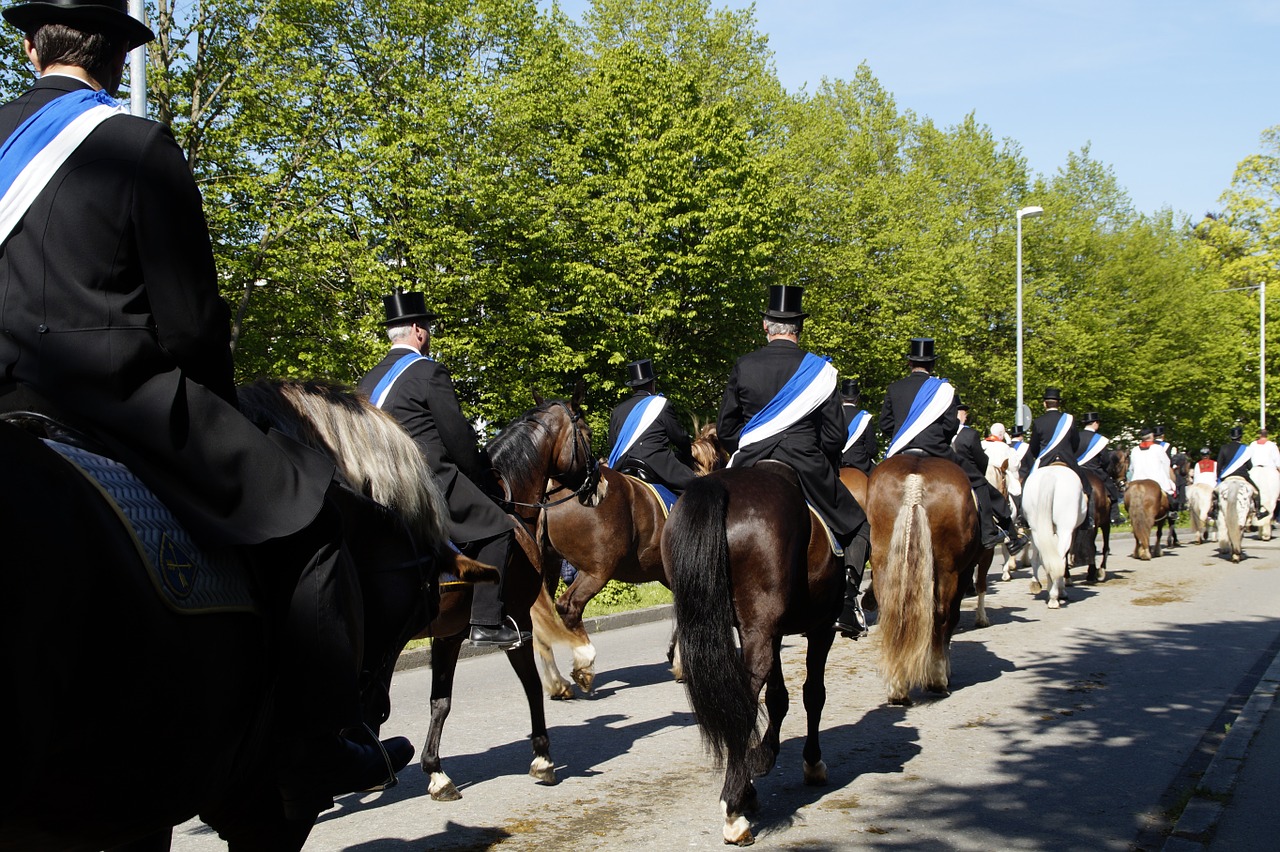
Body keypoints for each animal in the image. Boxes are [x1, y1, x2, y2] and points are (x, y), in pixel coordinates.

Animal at [665, 460, 844, 844]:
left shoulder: (770, 631)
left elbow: (778, 697)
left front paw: (762, 757)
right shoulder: (821, 628)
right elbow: (813, 694)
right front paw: (811, 761)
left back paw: (743, 792)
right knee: (744, 699)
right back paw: (734, 807)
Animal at [865, 455, 983, 701]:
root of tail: (915, 483)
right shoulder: (965, 572)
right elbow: (951, 619)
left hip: (883, 565)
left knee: (892, 613)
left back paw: (897, 686)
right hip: (949, 571)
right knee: (941, 615)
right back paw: (936, 678)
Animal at [1018, 465, 1080, 603]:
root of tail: (1050, 476)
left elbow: (1037, 558)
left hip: (1036, 529)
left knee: (1044, 558)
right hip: (1065, 529)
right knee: (1059, 558)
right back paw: (1056, 594)